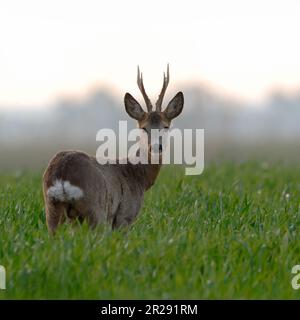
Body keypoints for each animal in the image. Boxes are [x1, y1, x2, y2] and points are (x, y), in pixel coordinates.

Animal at [42, 65, 183, 235]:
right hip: (96, 210)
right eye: (144, 128)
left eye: (166, 126)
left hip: (52, 209)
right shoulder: (125, 214)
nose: (156, 146)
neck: (139, 176)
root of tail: (63, 173)